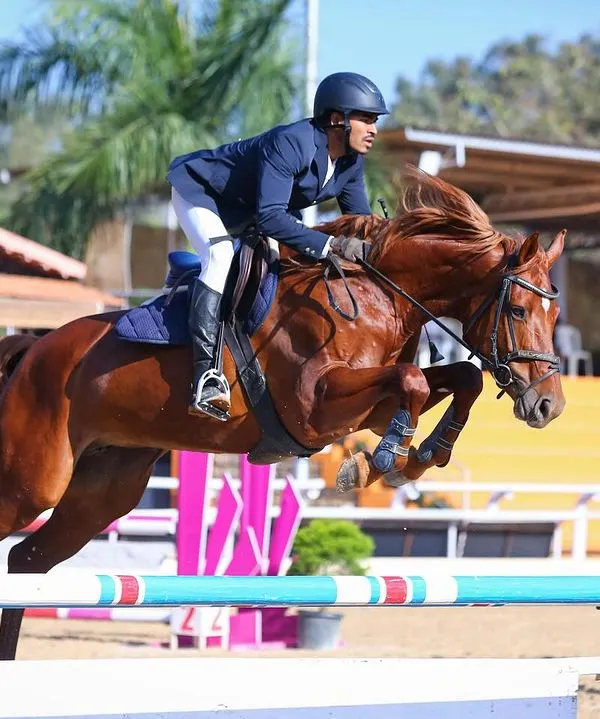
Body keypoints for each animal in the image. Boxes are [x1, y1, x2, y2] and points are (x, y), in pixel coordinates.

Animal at [0, 168, 564, 659]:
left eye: (556, 312)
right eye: (518, 310)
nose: (548, 405)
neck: (381, 296)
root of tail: (31, 349)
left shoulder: (371, 409)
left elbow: (456, 378)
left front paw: (423, 455)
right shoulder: (314, 406)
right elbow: (415, 379)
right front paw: (378, 464)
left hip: (102, 490)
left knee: (25, 563)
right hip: (34, 482)